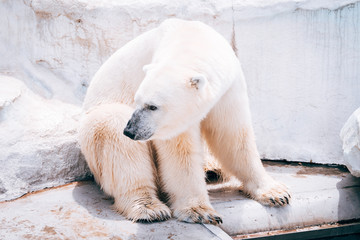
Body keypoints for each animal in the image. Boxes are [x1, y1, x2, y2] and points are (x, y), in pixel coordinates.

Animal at [79, 19, 290, 225]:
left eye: (153, 106)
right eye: (137, 100)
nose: (130, 131)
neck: (190, 37)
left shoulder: (228, 89)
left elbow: (233, 137)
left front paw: (277, 193)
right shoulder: (175, 120)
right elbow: (181, 153)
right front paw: (200, 211)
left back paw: (212, 170)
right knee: (114, 129)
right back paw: (150, 208)